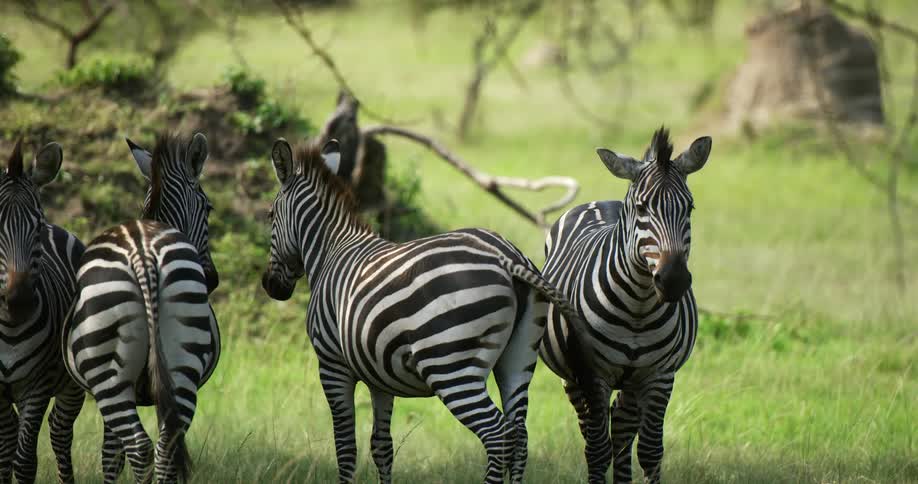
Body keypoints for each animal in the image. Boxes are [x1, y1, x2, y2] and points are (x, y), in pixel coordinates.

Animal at [63, 133, 221, 483]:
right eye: (208, 207)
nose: (212, 279)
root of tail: (143, 253)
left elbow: (110, 455)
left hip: (107, 375)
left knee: (140, 447)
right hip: (181, 363)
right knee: (166, 446)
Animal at [261, 137, 595, 484]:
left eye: (269, 215)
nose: (271, 286)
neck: (330, 252)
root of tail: (505, 257)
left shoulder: (331, 364)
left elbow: (345, 448)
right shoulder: (379, 376)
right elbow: (381, 446)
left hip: (450, 365)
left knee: (497, 434)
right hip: (519, 358)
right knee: (519, 436)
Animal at [538, 127, 712, 483]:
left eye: (689, 208)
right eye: (642, 208)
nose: (673, 280)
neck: (638, 308)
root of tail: (601, 202)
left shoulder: (660, 375)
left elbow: (650, 451)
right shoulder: (592, 374)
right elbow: (596, 450)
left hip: (633, 380)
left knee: (620, 427)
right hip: (573, 378)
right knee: (595, 433)